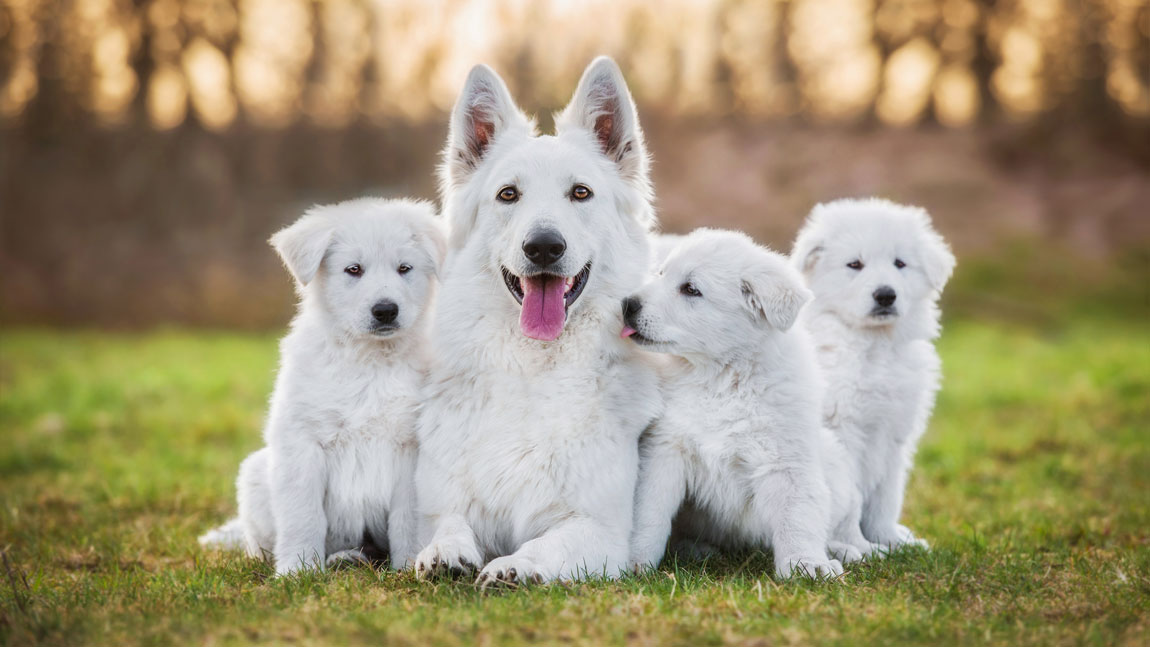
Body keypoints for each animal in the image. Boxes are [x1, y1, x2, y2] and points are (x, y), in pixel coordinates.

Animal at [200, 198, 441, 576]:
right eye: (353, 269)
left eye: (405, 268)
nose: (386, 310)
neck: (368, 361)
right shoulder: (302, 442)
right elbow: (303, 515)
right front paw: (297, 571)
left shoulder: (411, 447)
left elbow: (407, 519)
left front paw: (407, 566)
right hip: (256, 474)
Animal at [414, 59, 667, 588]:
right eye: (508, 194)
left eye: (581, 193)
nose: (544, 247)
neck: (534, 367)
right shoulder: (432, 510)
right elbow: (448, 523)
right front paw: (445, 552)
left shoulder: (599, 531)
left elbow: (549, 543)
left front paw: (516, 565)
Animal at [621, 229, 864, 579]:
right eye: (661, 273)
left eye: (691, 289)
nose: (627, 304)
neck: (721, 378)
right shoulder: (664, 450)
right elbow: (648, 512)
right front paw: (634, 562)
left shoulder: (787, 460)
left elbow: (798, 517)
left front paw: (806, 564)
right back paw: (697, 550)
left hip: (836, 466)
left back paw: (849, 550)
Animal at [795, 198, 956, 551]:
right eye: (855, 264)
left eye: (900, 263)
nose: (885, 295)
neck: (874, 345)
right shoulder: (844, 433)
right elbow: (853, 498)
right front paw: (864, 547)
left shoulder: (895, 436)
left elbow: (887, 496)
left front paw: (892, 541)